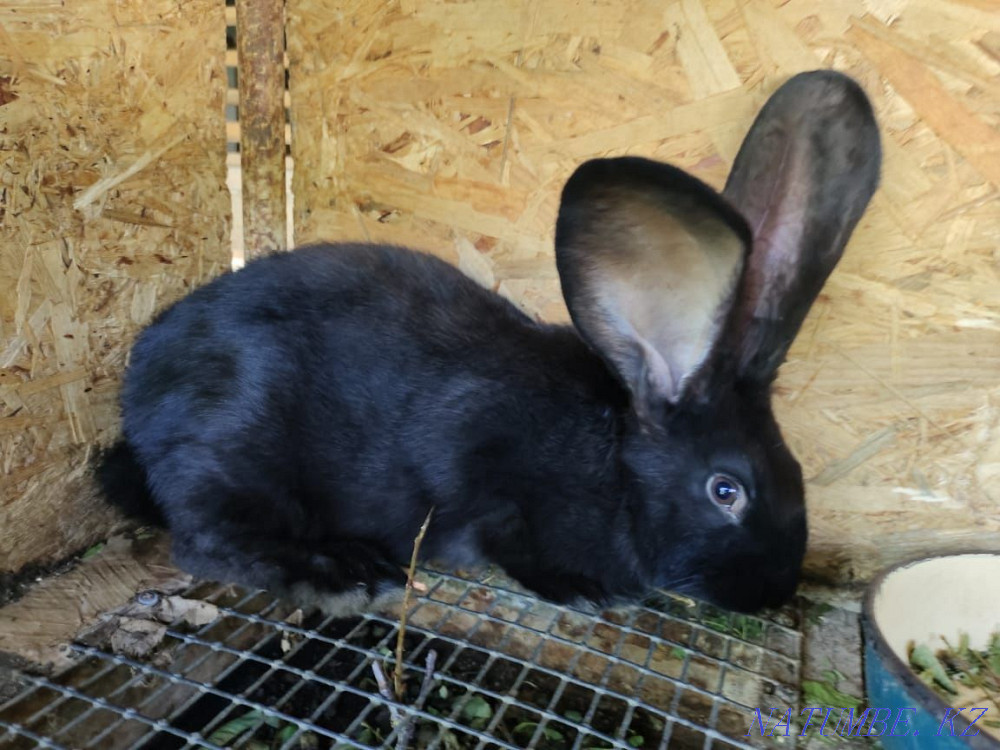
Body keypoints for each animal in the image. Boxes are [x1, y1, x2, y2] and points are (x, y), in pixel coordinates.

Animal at [98, 70, 881, 615]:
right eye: (726, 491)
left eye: (797, 472)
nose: (773, 592)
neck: (611, 465)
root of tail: (138, 403)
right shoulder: (475, 464)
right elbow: (503, 537)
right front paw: (583, 590)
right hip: (235, 443)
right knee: (204, 539)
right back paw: (343, 573)